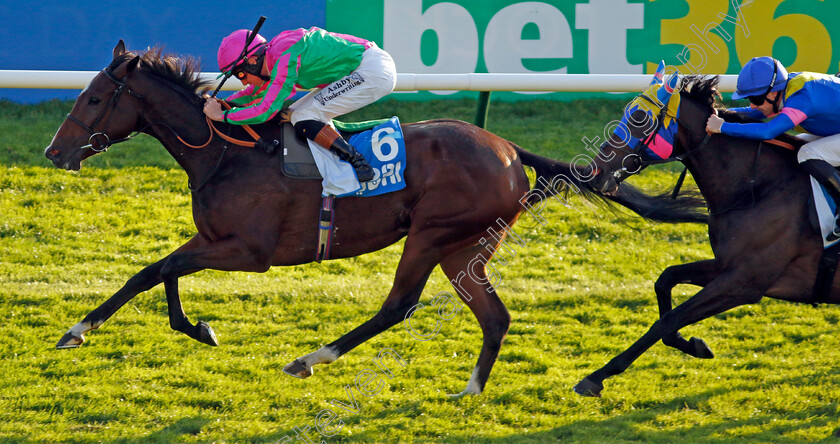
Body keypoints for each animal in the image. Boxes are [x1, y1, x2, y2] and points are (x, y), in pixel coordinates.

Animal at [44, 41, 704, 396]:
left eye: (94, 98)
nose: (54, 151)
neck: (226, 152)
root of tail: (510, 151)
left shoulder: (248, 252)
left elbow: (157, 270)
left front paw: (80, 329)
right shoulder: (214, 237)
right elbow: (159, 272)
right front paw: (195, 327)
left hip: (432, 234)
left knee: (399, 306)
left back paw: (310, 359)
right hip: (465, 248)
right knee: (494, 315)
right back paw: (471, 389)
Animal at [572, 74, 832, 398]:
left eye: (639, 118)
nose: (595, 171)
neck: (755, 187)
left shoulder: (744, 282)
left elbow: (670, 318)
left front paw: (597, 376)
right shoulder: (726, 266)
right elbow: (666, 280)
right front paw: (695, 346)